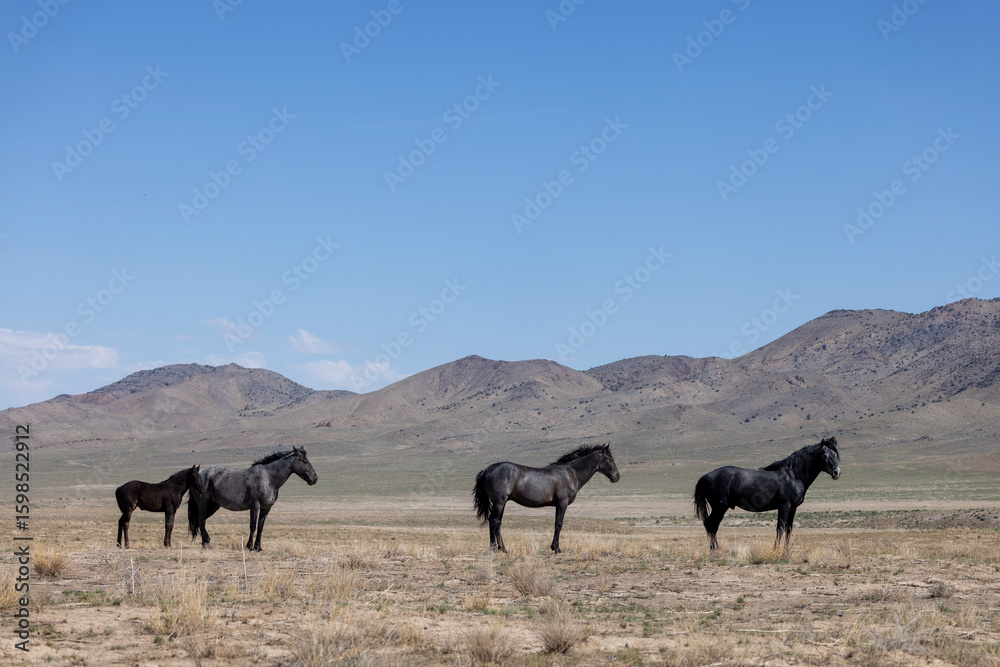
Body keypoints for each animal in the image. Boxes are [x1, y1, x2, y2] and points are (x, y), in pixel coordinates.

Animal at [187, 446, 318, 551]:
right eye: (304, 461)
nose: (315, 478)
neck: (268, 478)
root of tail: (199, 473)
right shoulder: (255, 506)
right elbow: (253, 526)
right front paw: (249, 546)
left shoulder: (266, 508)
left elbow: (260, 527)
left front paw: (258, 547)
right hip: (203, 503)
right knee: (201, 520)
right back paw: (207, 544)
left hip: (214, 505)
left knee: (200, 521)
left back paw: (205, 542)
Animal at [473, 443, 620, 554]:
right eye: (611, 459)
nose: (617, 477)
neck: (571, 473)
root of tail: (486, 470)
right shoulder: (562, 503)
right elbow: (558, 524)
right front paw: (557, 548)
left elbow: (557, 524)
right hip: (499, 502)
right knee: (493, 521)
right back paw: (493, 548)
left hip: (502, 503)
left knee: (498, 523)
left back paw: (503, 549)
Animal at [693, 436, 841, 552]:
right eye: (825, 455)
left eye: (835, 454)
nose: (837, 472)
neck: (794, 475)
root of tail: (706, 476)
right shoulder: (784, 506)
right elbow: (780, 528)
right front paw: (776, 550)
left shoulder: (793, 508)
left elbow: (788, 530)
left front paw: (786, 551)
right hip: (720, 508)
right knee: (712, 525)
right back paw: (715, 549)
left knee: (710, 525)